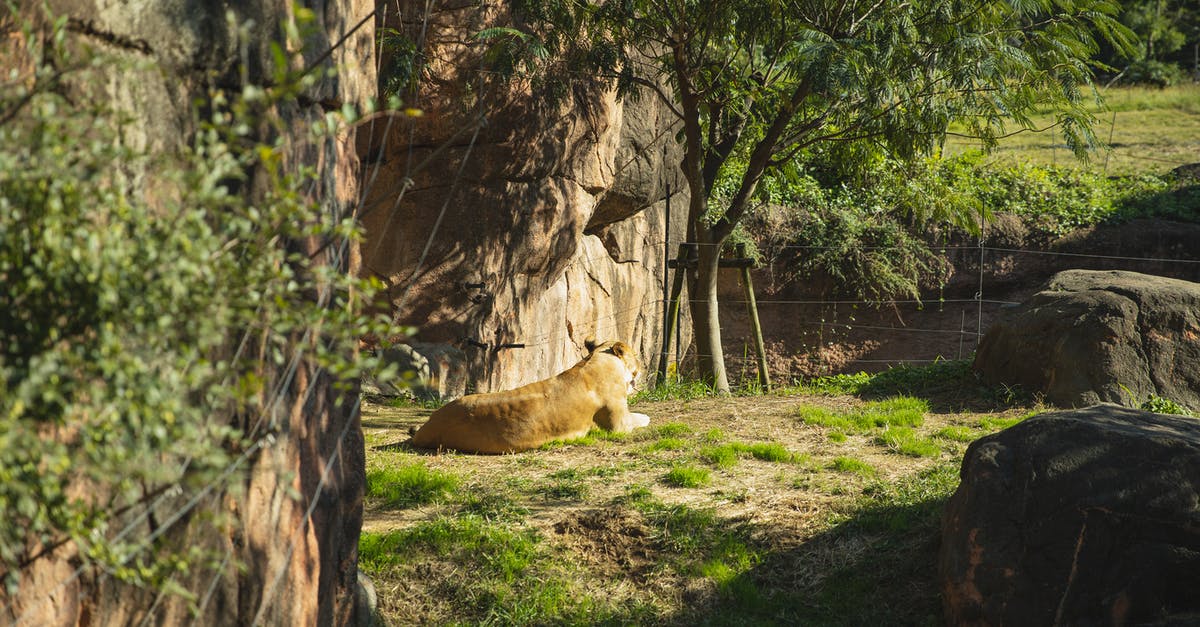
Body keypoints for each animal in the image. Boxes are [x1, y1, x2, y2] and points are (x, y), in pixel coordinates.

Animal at [408, 339, 651, 454]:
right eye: (635, 355)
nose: (643, 365)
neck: (598, 359)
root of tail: (430, 423)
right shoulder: (618, 425)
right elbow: (640, 417)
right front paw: (646, 417)